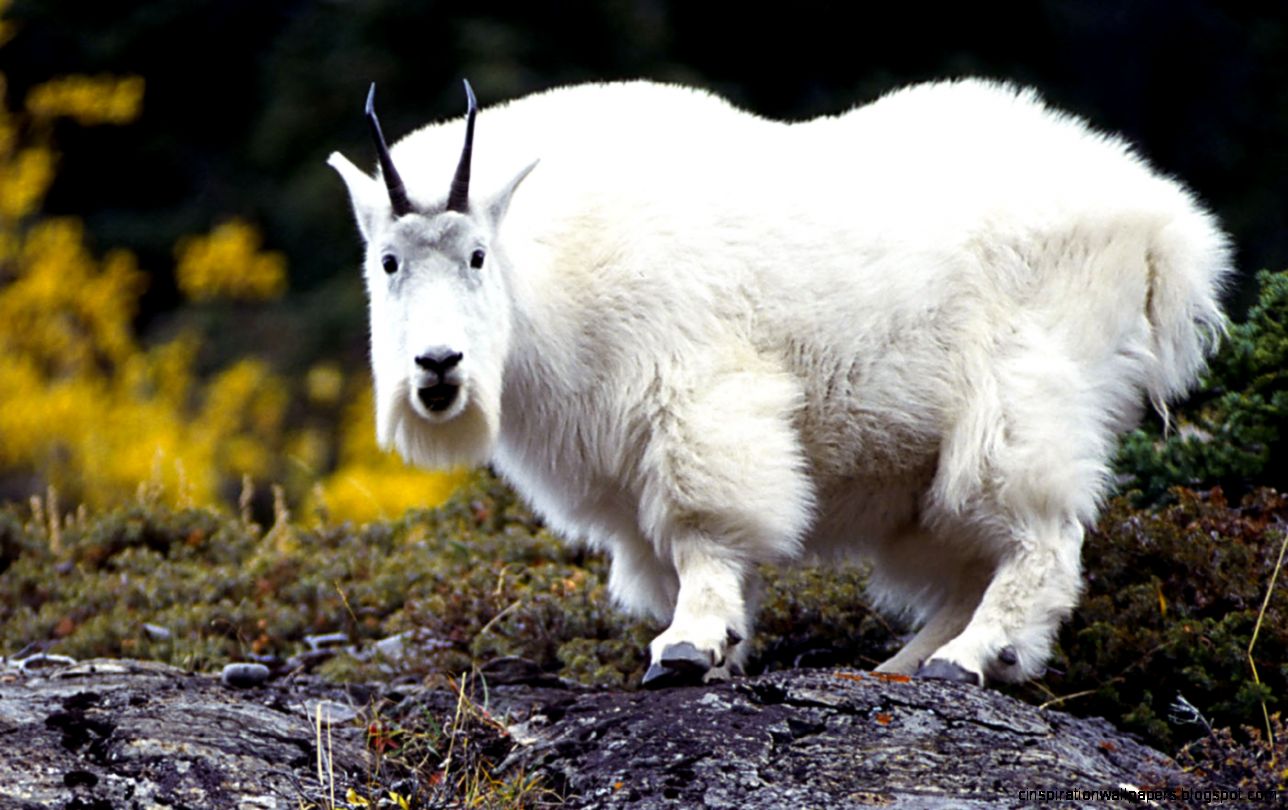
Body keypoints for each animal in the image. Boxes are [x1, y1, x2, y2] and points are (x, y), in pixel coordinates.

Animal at [328, 78, 1231, 686]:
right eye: (388, 261)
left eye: (477, 256)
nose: (438, 366)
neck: (548, 266)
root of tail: (1165, 225)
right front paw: (723, 650)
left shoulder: (695, 396)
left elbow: (704, 532)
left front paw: (689, 646)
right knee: (971, 557)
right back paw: (905, 663)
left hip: (1027, 392)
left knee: (1040, 537)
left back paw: (971, 657)